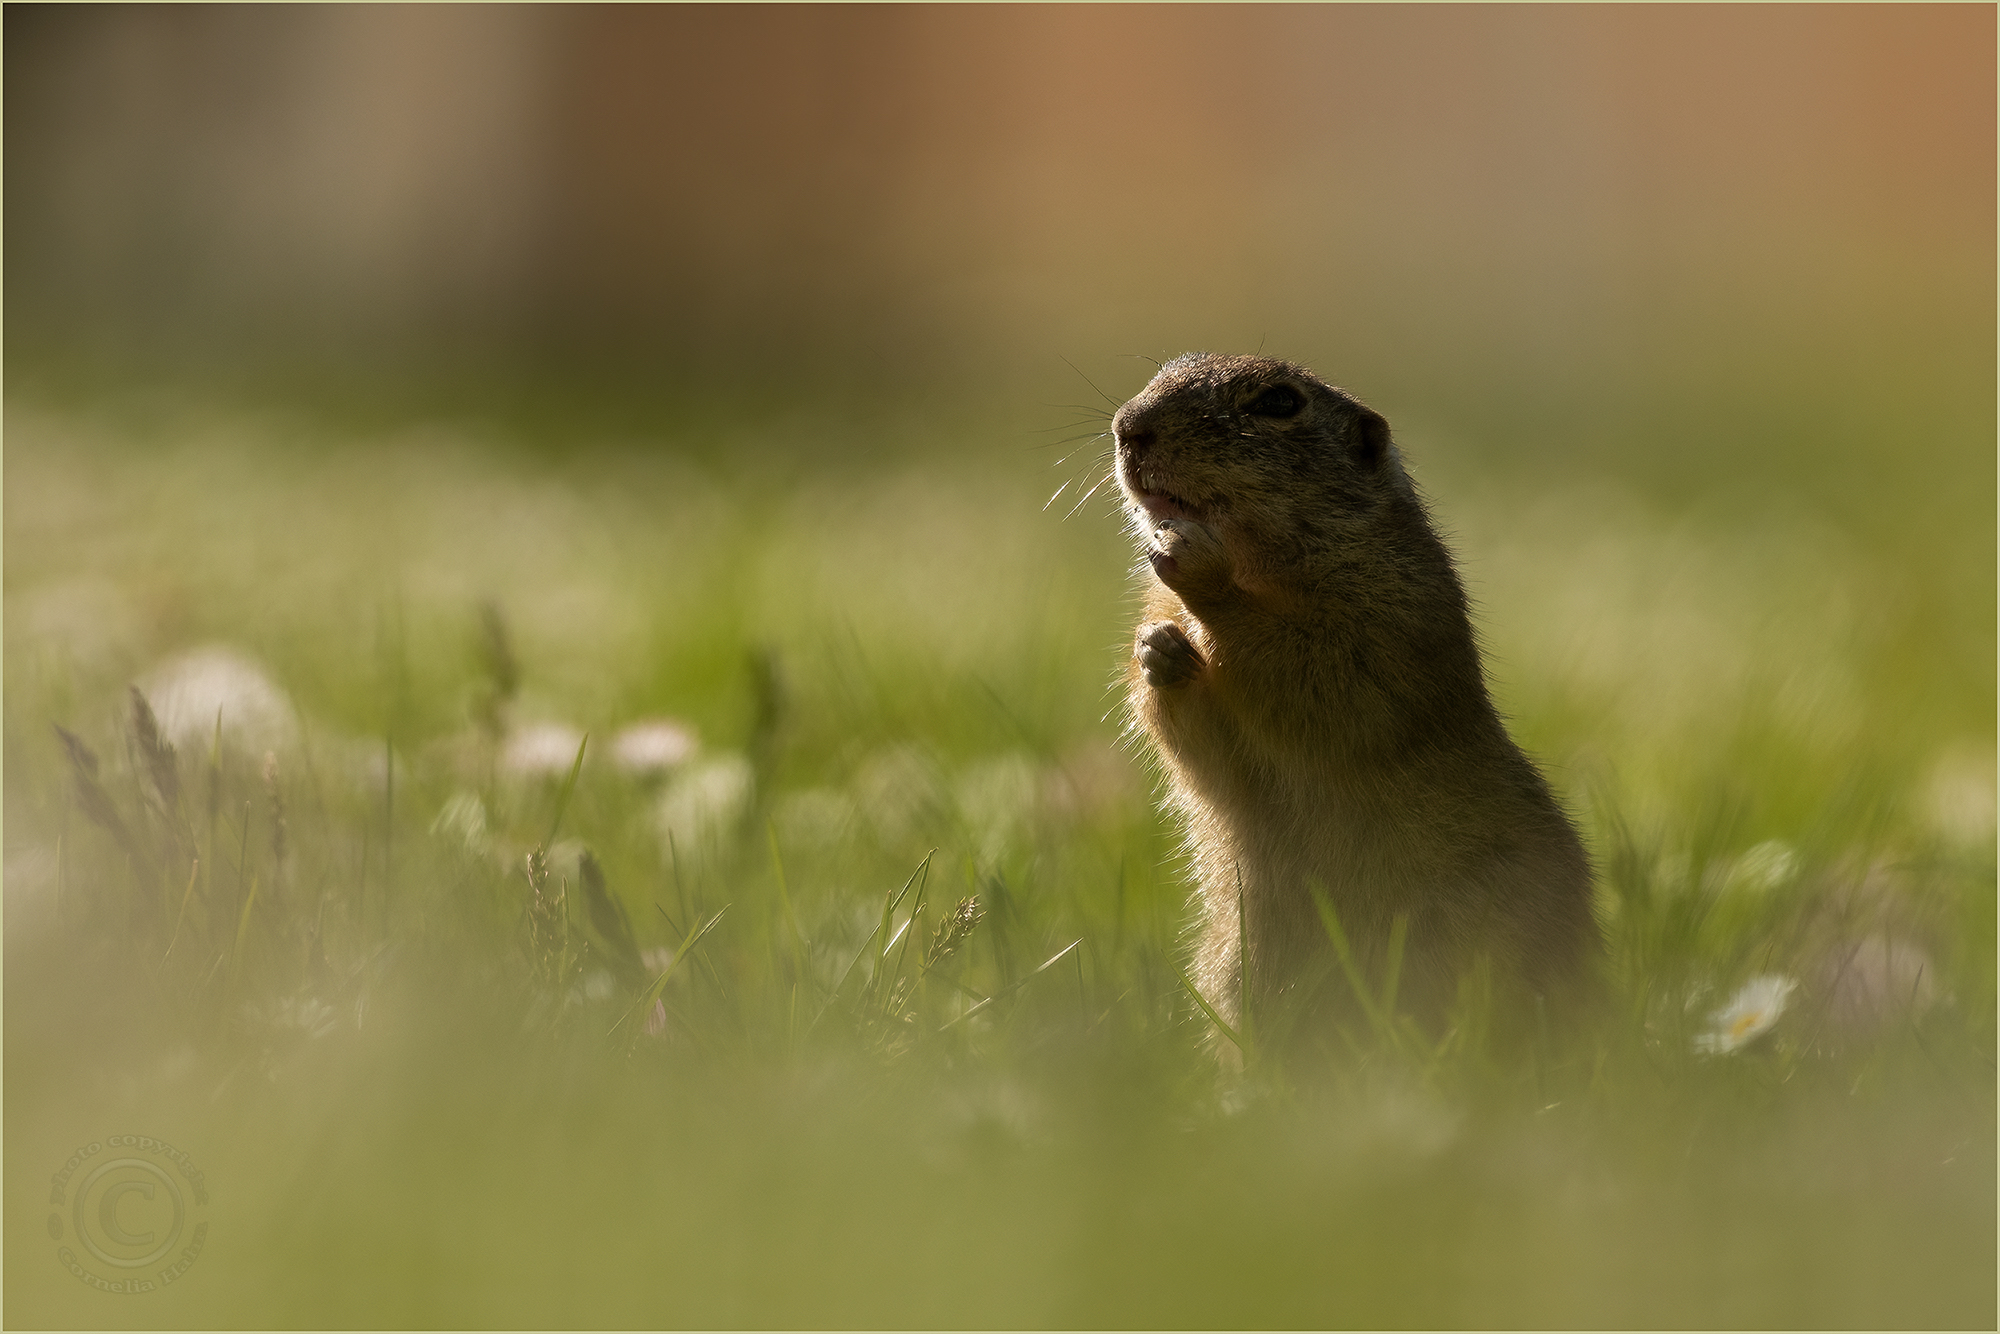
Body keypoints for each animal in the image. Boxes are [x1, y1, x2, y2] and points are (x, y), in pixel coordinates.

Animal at [1120, 352, 1600, 1032]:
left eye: (1278, 402)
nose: (1127, 427)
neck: (1263, 564)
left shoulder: (1391, 608)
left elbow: (1326, 677)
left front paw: (1198, 569)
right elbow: (1207, 750)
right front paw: (1158, 652)